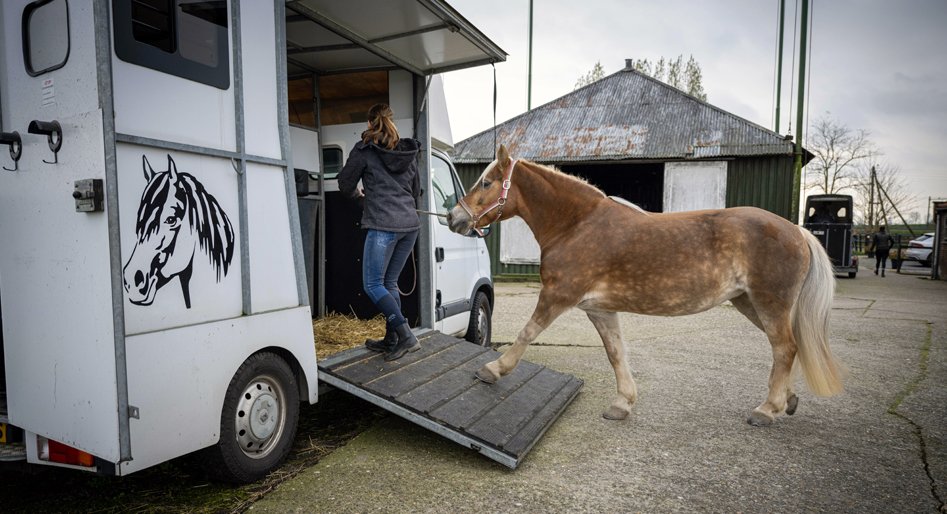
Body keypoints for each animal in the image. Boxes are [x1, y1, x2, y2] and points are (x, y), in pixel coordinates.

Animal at [448, 144, 848, 424]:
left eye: (486, 182)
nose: (454, 218)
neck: (577, 225)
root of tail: (795, 230)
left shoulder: (558, 295)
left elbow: (527, 333)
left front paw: (492, 370)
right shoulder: (599, 309)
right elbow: (616, 353)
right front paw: (622, 403)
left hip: (769, 302)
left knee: (784, 348)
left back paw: (766, 410)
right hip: (749, 302)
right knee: (786, 347)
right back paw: (787, 401)